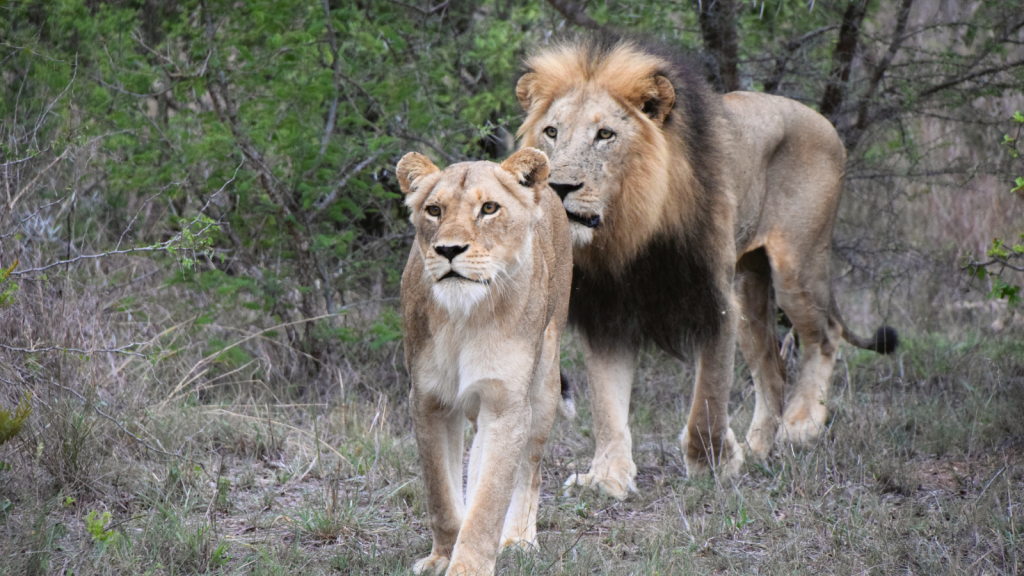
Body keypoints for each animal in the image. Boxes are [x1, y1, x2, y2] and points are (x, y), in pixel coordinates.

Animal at [397, 145, 577, 569]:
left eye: (489, 208)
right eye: (434, 210)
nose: (448, 250)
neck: (465, 317)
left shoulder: (505, 404)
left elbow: (489, 501)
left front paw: (468, 567)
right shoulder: (428, 400)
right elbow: (442, 496)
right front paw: (441, 558)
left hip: (544, 385)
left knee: (530, 468)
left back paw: (519, 540)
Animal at [516, 33, 892, 498]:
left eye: (605, 134)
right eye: (551, 131)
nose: (559, 186)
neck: (630, 231)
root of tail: (822, 121)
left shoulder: (715, 300)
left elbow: (708, 398)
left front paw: (714, 461)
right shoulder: (607, 313)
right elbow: (607, 404)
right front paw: (606, 477)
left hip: (797, 266)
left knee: (825, 335)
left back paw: (802, 425)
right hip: (750, 285)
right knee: (772, 369)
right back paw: (758, 448)